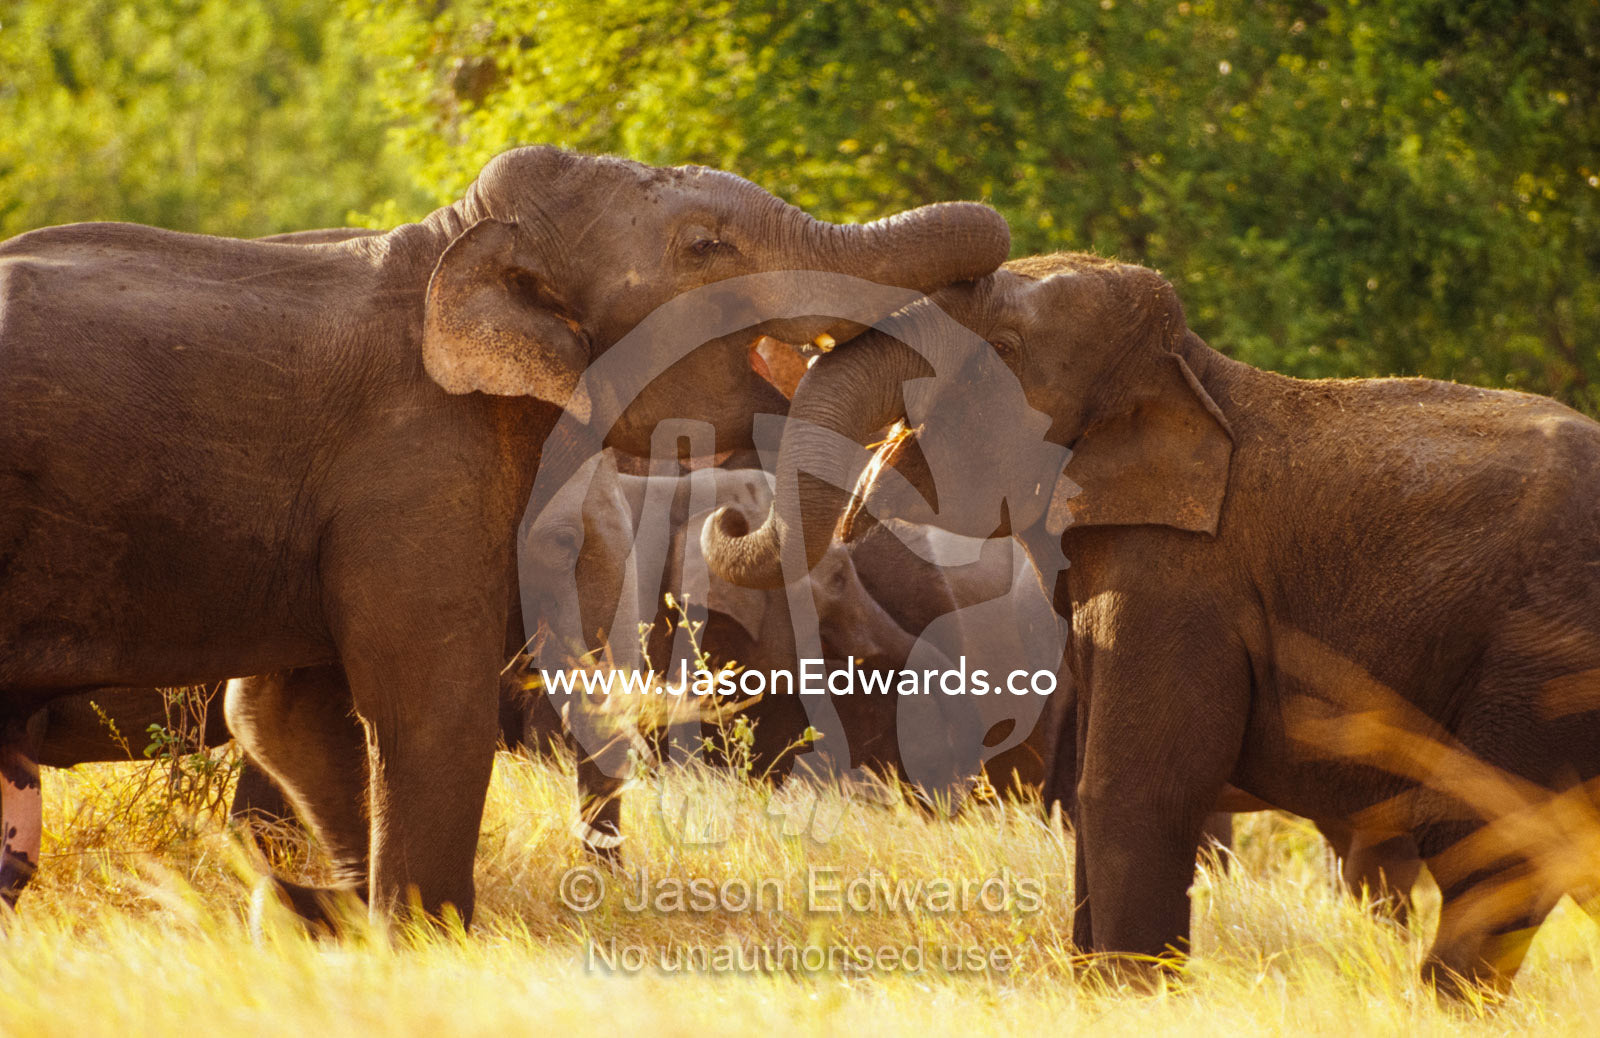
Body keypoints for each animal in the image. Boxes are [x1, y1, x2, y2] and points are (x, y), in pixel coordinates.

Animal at [0, 144, 1010, 923]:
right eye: (704, 247)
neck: (450, 243)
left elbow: (287, 709)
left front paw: (326, 909)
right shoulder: (412, 460)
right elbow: (425, 706)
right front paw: (409, 929)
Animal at [702, 250, 1600, 994]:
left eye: (1003, 346)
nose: (725, 511)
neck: (1189, 372)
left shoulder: (1184, 575)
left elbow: (1132, 786)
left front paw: (1131, 994)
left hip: (1542, 661)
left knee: (1490, 846)